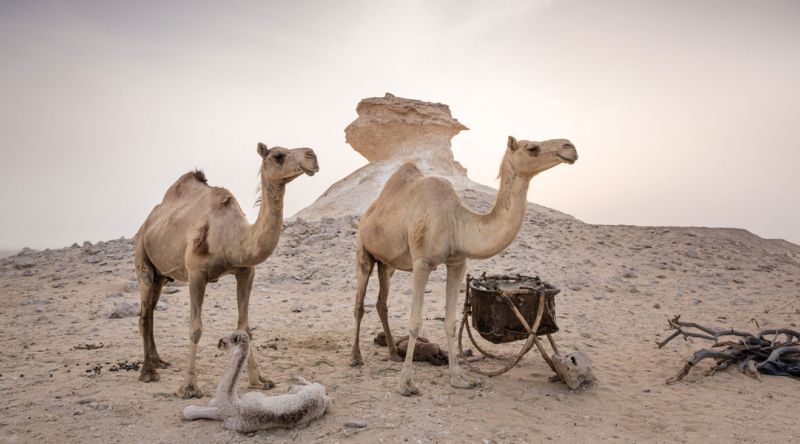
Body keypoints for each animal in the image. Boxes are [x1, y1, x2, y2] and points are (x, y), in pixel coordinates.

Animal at [135, 143, 318, 398]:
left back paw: (158, 361)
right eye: (278, 155)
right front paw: (189, 387)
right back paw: (148, 372)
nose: (312, 155)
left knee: (151, 310)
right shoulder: (196, 274)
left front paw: (259, 380)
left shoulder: (246, 272)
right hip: (142, 257)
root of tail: (147, 222)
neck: (233, 236)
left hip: (163, 276)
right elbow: (195, 329)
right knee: (144, 313)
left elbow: (245, 328)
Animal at [354, 135, 580, 396]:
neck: (455, 221)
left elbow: (451, 323)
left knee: (382, 303)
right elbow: (415, 322)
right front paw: (405, 384)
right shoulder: (422, 262)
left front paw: (459, 378)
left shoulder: (457, 262)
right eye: (532, 148)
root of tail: (368, 212)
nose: (569, 147)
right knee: (360, 303)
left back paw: (392, 353)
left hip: (387, 264)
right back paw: (355, 358)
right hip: (363, 249)